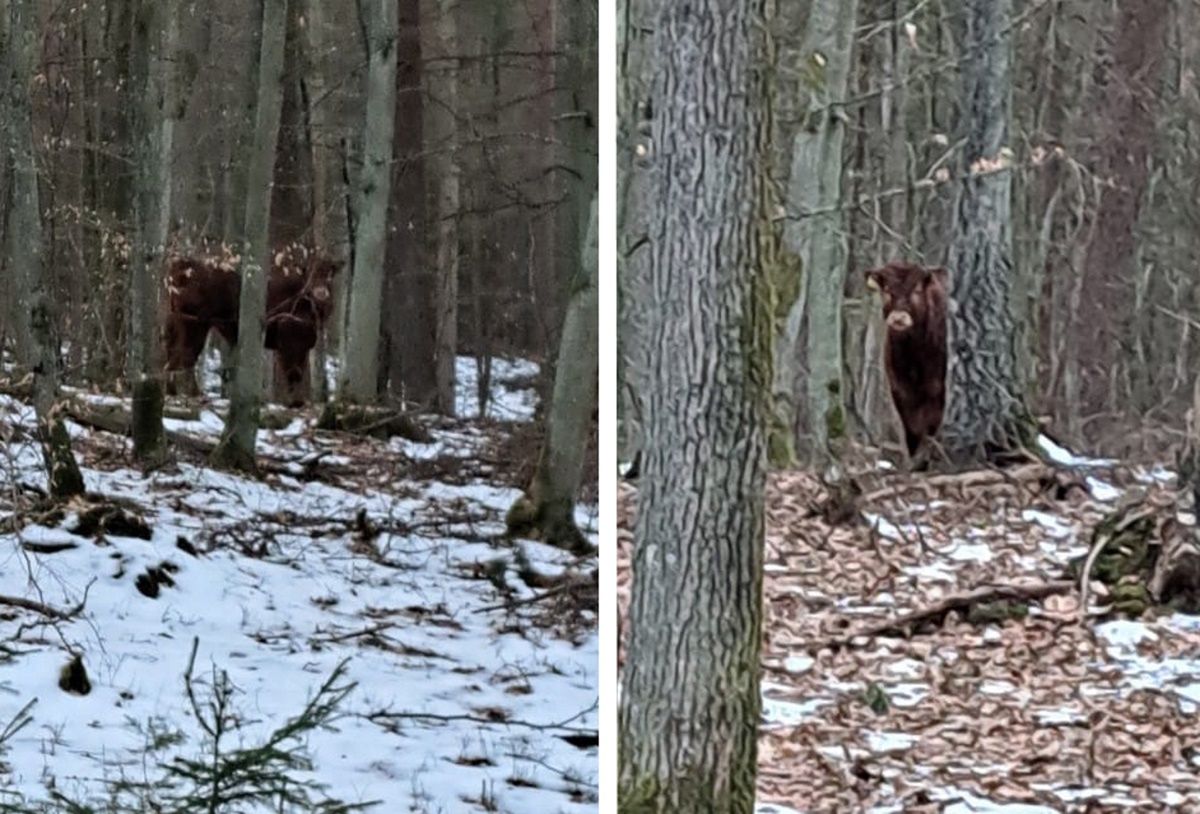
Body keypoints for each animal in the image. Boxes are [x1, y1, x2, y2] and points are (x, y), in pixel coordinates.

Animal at [162, 243, 340, 405]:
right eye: (310, 271)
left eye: (331, 273)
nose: (321, 293)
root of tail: (178, 267)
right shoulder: (288, 341)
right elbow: (291, 371)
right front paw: (292, 401)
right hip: (194, 324)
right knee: (184, 356)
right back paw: (195, 394)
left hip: (177, 322)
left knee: (173, 354)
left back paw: (174, 390)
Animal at [864, 262, 945, 465]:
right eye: (886, 289)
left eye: (916, 290)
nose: (899, 317)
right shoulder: (899, 386)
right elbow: (911, 423)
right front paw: (915, 455)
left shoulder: (936, 385)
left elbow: (931, 421)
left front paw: (924, 457)